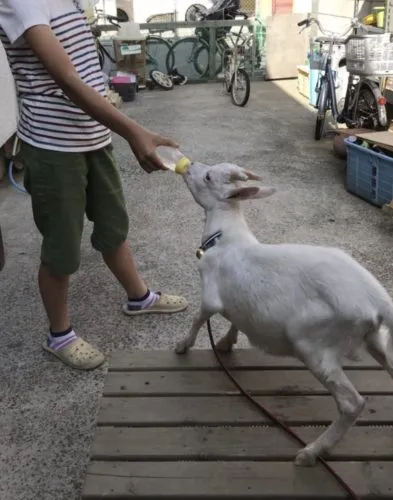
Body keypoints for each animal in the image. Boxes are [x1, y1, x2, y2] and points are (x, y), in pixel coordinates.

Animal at [176, 162, 392, 466]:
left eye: (208, 177)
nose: (190, 165)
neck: (226, 238)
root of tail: (378, 301)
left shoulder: (210, 295)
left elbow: (198, 318)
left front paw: (183, 346)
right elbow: (236, 320)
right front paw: (226, 343)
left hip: (312, 343)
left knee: (352, 403)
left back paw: (311, 452)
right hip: (374, 340)